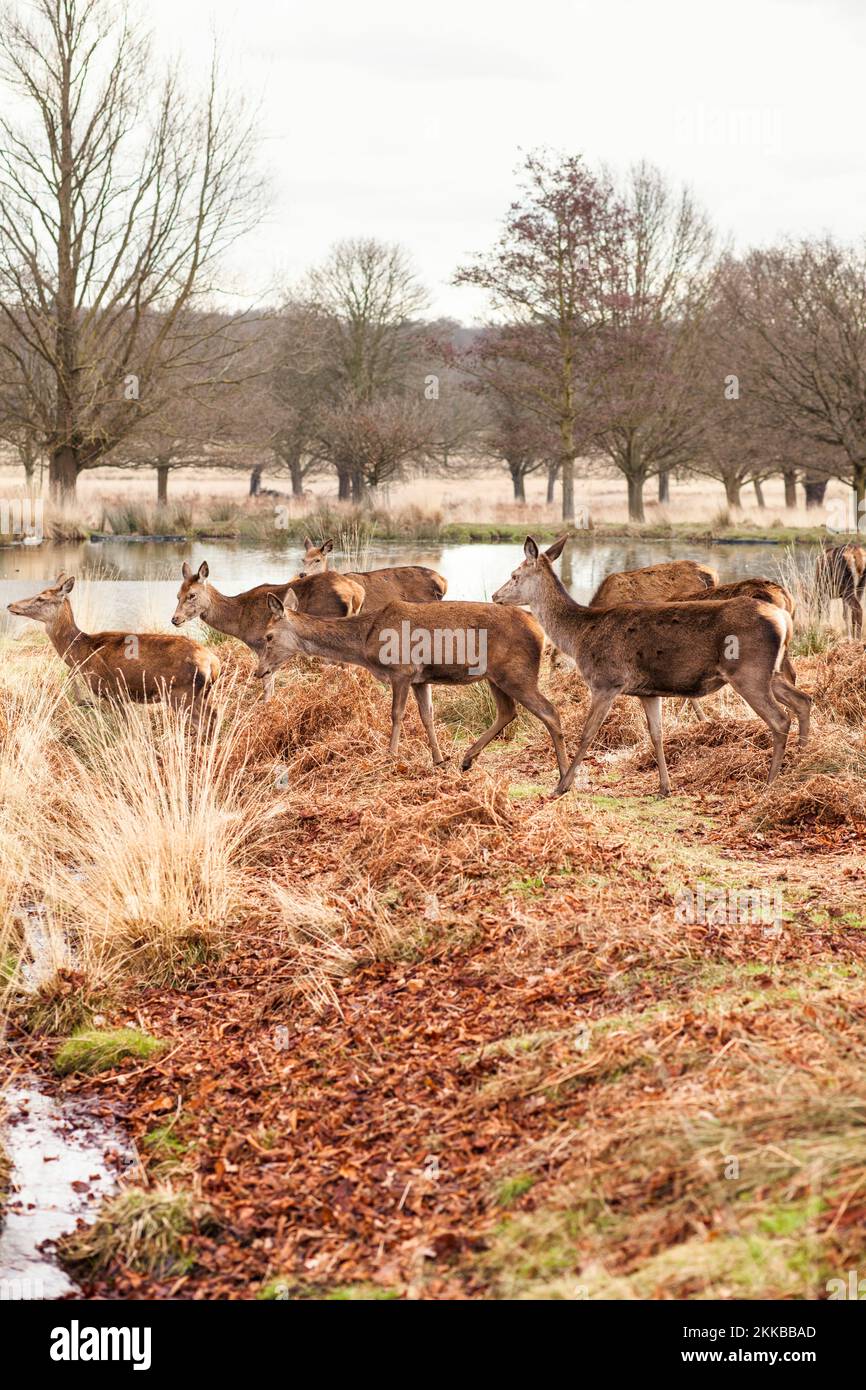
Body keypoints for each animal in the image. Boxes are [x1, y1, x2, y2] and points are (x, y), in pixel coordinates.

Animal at [8, 575, 218, 728]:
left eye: (41, 598)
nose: (10, 605)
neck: (81, 653)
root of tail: (213, 663)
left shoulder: (112, 690)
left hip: (181, 694)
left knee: (203, 723)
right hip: (201, 695)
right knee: (214, 715)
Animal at [173, 558, 366, 700]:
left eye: (192, 595)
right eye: (177, 595)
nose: (175, 619)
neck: (240, 619)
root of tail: (356, 593)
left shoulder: (261, 644)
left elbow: (267, 682)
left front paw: (266, 705)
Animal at [254, 586, 572, 783]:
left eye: (268, 636)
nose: (259, 672)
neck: (366, 642)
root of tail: (540, 631)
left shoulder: (401, 670)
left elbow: (396, 715)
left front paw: (390, 757)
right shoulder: (421, 679)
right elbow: (427, 715)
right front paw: (439, 759)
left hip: (516, 672)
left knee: (550, 712)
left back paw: (564, 776)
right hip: (496, 676)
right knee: (508, 712)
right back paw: (467, 759)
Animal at [494, 542, 811, 806]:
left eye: (514, 575)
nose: (496, 596)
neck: (580, 634)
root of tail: (784, 618)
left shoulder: (606, 681)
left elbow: (587, 733)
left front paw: (562, 785)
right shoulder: (647, 692)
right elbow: (656, 734)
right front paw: (664, 788)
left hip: (749, 672)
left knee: (780, 719)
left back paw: (770, 783)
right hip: (771, 673)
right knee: (803, 700)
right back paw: (801, 760)